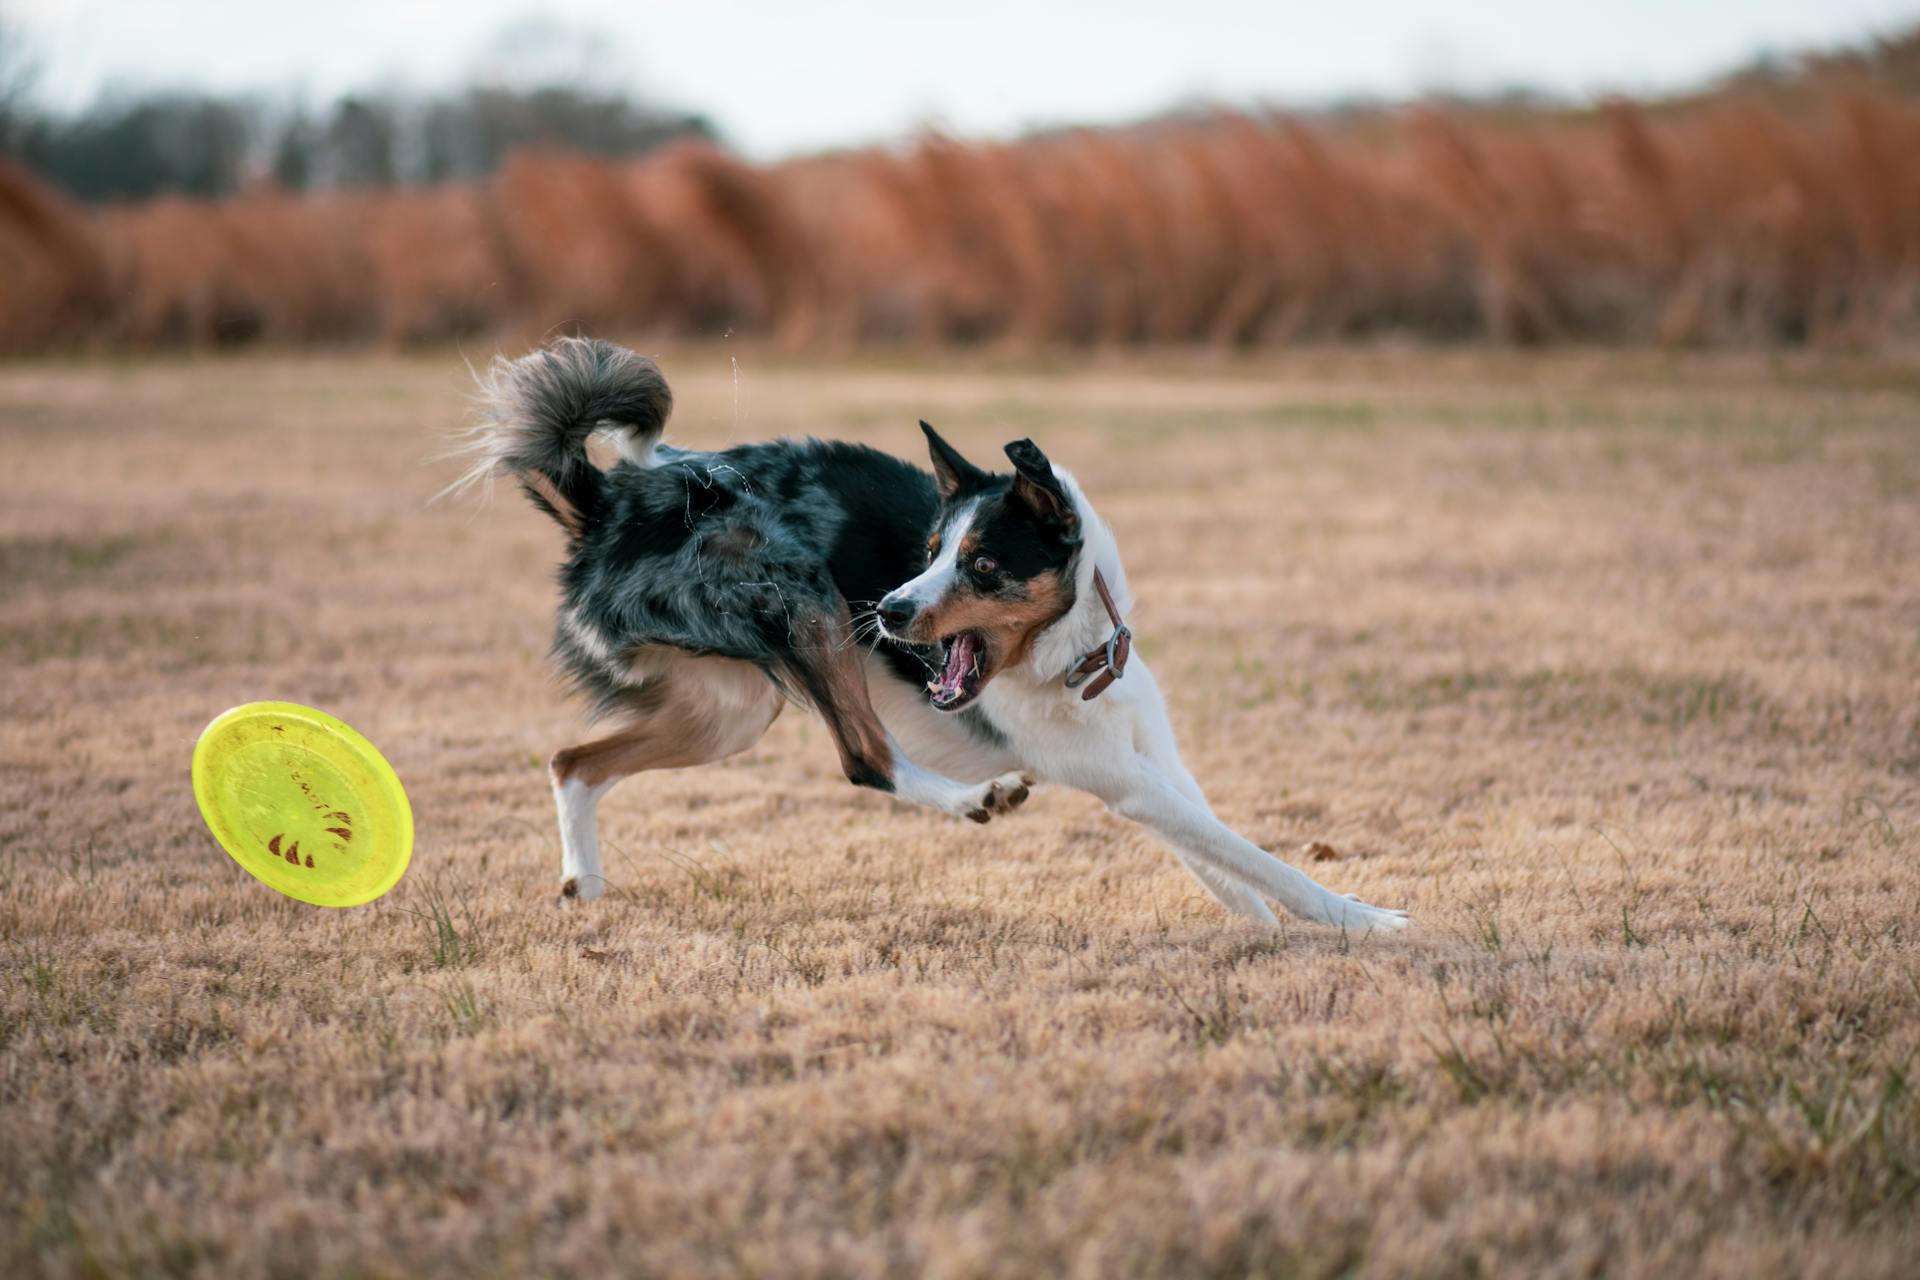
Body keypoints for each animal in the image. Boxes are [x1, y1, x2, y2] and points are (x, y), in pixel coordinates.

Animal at [455, 337, 1405, 932]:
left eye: (980, 564)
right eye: (929, 551)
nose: (890, 611)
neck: (1073, 662)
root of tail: (603, 503)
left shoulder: (1147, 765)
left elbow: (1219, 852)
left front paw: (1266, 927)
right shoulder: (1122, 782)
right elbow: (1258, 856)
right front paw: (1364, 920)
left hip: (727, 713)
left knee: (571, 762)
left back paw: (584, 879)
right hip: (798, 607)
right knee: (864, 760)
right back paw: (973, 799)